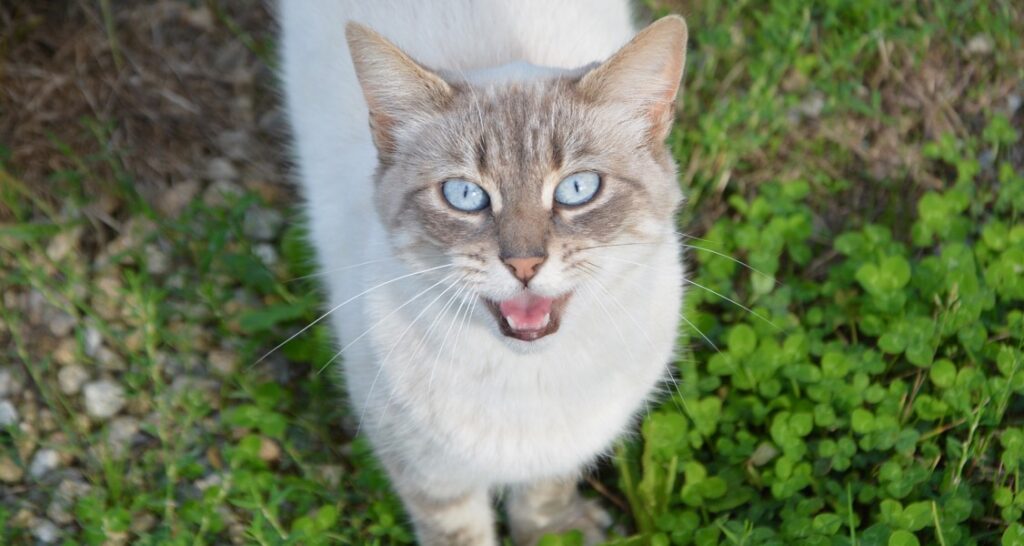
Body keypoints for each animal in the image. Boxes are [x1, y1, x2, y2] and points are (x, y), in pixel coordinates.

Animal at [278, 2, 688, 540]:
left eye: (578, 189)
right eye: (465, 195)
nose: (524, 263)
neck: (527, 379)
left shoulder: (562, 448)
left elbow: (544, 496)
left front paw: (553, 533)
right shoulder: (426, 471)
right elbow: (459, 532)